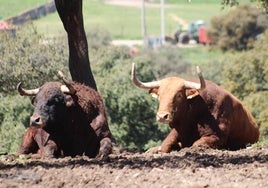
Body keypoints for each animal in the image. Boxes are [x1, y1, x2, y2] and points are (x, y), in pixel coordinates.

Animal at [132, 63, 260, 153]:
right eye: (159, 95)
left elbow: (196, 145)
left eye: (179, 95)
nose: (162, 116)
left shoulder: (217, 137)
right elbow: (164, 146)